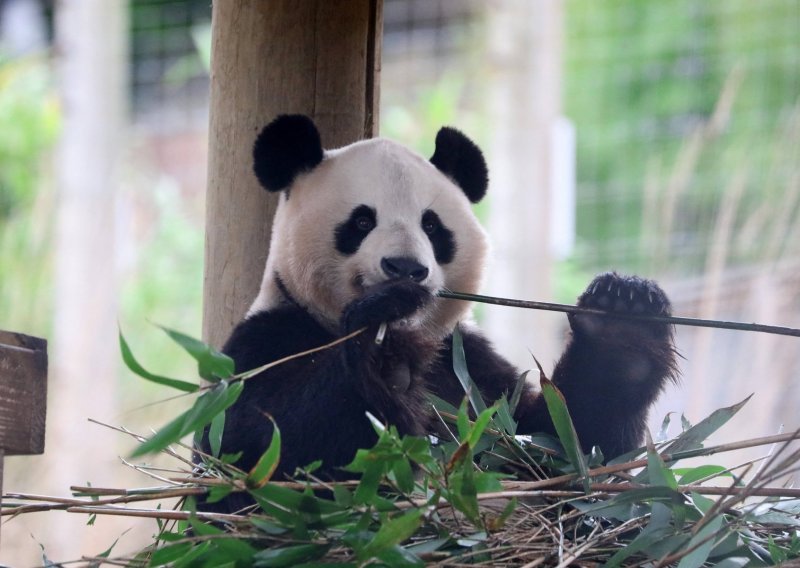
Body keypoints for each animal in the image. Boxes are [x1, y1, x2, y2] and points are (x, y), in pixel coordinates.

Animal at [197, 115, 680, 516]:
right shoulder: (263, 342)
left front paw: (623, 317)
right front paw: (384, 359)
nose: (405, 269)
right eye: (361, 222)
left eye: (431, 226)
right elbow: (257, 452)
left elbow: (565, 447)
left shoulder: (470, 370)